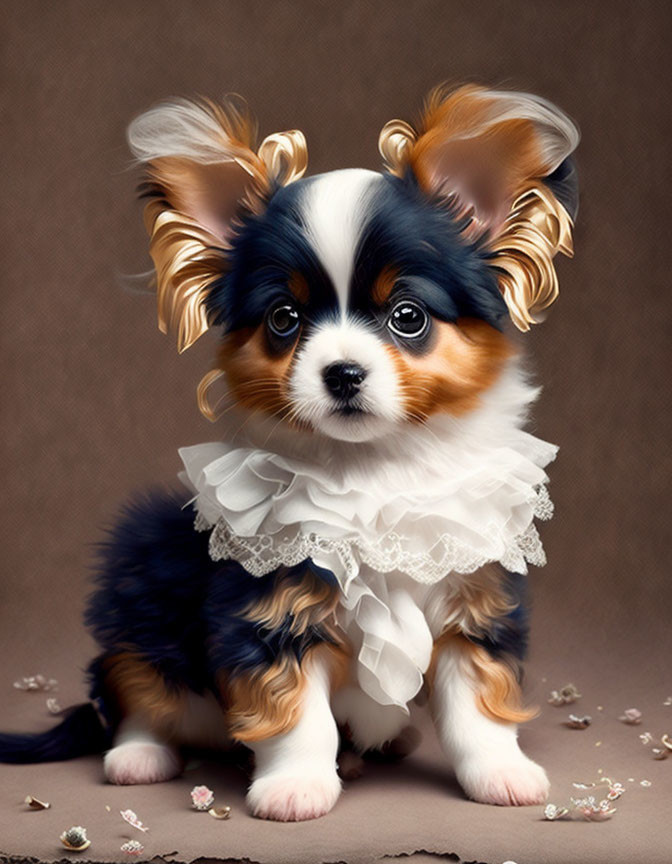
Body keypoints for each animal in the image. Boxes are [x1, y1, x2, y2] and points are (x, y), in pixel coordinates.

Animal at [0, 84, 576, 820]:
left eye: (408, 317)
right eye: (284, 319)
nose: (343, 373)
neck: (374, 470)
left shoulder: (474, 600)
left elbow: (478, 702)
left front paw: (502, 774)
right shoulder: (272, 611)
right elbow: (298, 712)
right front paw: (295, 786)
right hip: (143, 588)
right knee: (136, 689)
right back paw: (139, 756)